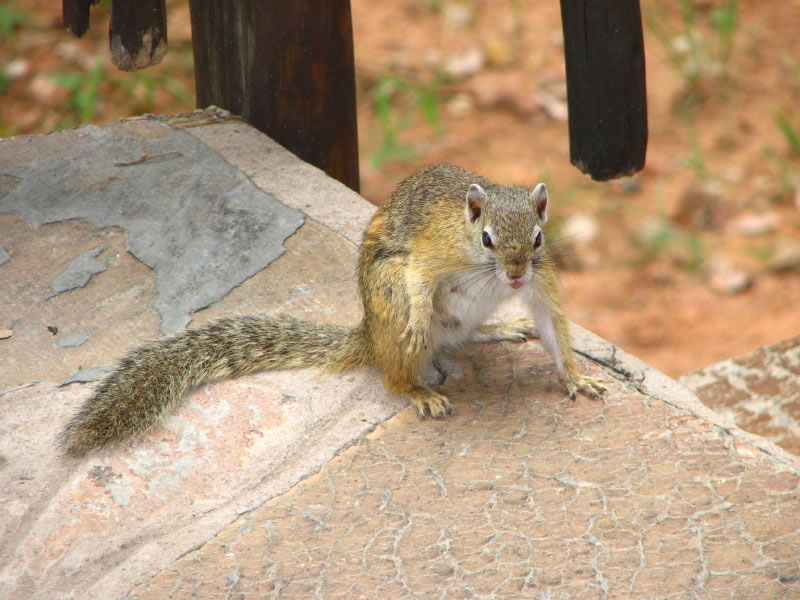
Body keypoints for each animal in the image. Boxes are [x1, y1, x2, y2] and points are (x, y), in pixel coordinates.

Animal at [61, 164, 606, 457]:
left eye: (537, 238)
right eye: (487, 238)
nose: (514, 276)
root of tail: (368, 336)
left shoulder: (542, 278)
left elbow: (553, 323)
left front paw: (576, 378)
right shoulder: (433, 252)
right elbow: (419, 279)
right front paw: (418, 318)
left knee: (463, 336)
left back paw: (500, 326)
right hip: (387, 304)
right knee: (395, 374)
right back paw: (418, 386)